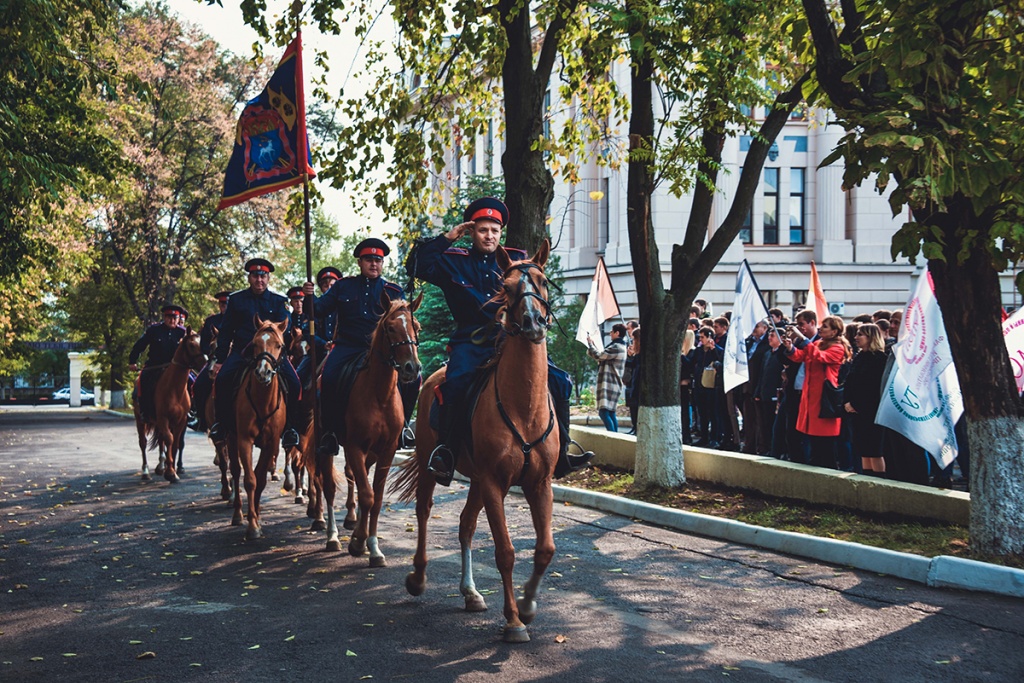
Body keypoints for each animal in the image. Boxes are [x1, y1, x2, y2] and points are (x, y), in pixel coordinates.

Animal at [136, 327, 207, 483]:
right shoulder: (163, 418)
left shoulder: (181, 421)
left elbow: (175, 444)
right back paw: (145, 471)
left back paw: (160, 466)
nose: (205, 365)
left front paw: (173, 469)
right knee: (143, 443)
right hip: (140, 420)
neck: (174, 388)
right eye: (191, 345)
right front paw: (170, 472)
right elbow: (170, 439)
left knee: (161, 439)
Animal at [226, 317, 286, 540]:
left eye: (280, 345)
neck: (262, 401)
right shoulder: (244, 440)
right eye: (254, 344)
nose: (263, 372)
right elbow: (250, 479)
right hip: (230, 437)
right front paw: (252, 525)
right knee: (235, 471)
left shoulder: (271, 443)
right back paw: (237, 514)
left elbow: (260, 479)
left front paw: (258, 518)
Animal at [313, 290, 421, 565]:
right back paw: (332, 536)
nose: (412, 368)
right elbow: (367, 495)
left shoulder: (387, 451)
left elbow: (376, 498)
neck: (379, 394)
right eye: (390, 328)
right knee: (329, 487)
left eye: (416, 326)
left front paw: (370, 546)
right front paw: (359, 542)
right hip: (325, 445)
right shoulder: (354, 447)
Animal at [391, 239, 557, 643]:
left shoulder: (539, 483)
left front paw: (528, 605)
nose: (532, 322)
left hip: (478, 480)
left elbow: (545, 548)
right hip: (438, 467)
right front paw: (513, 620)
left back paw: (470, 593)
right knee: (424, 511)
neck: (523, 406)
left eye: (543, 281)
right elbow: (505, 552)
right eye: (507, 287)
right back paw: (418, 577)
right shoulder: (496, 483)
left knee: (466, 524)